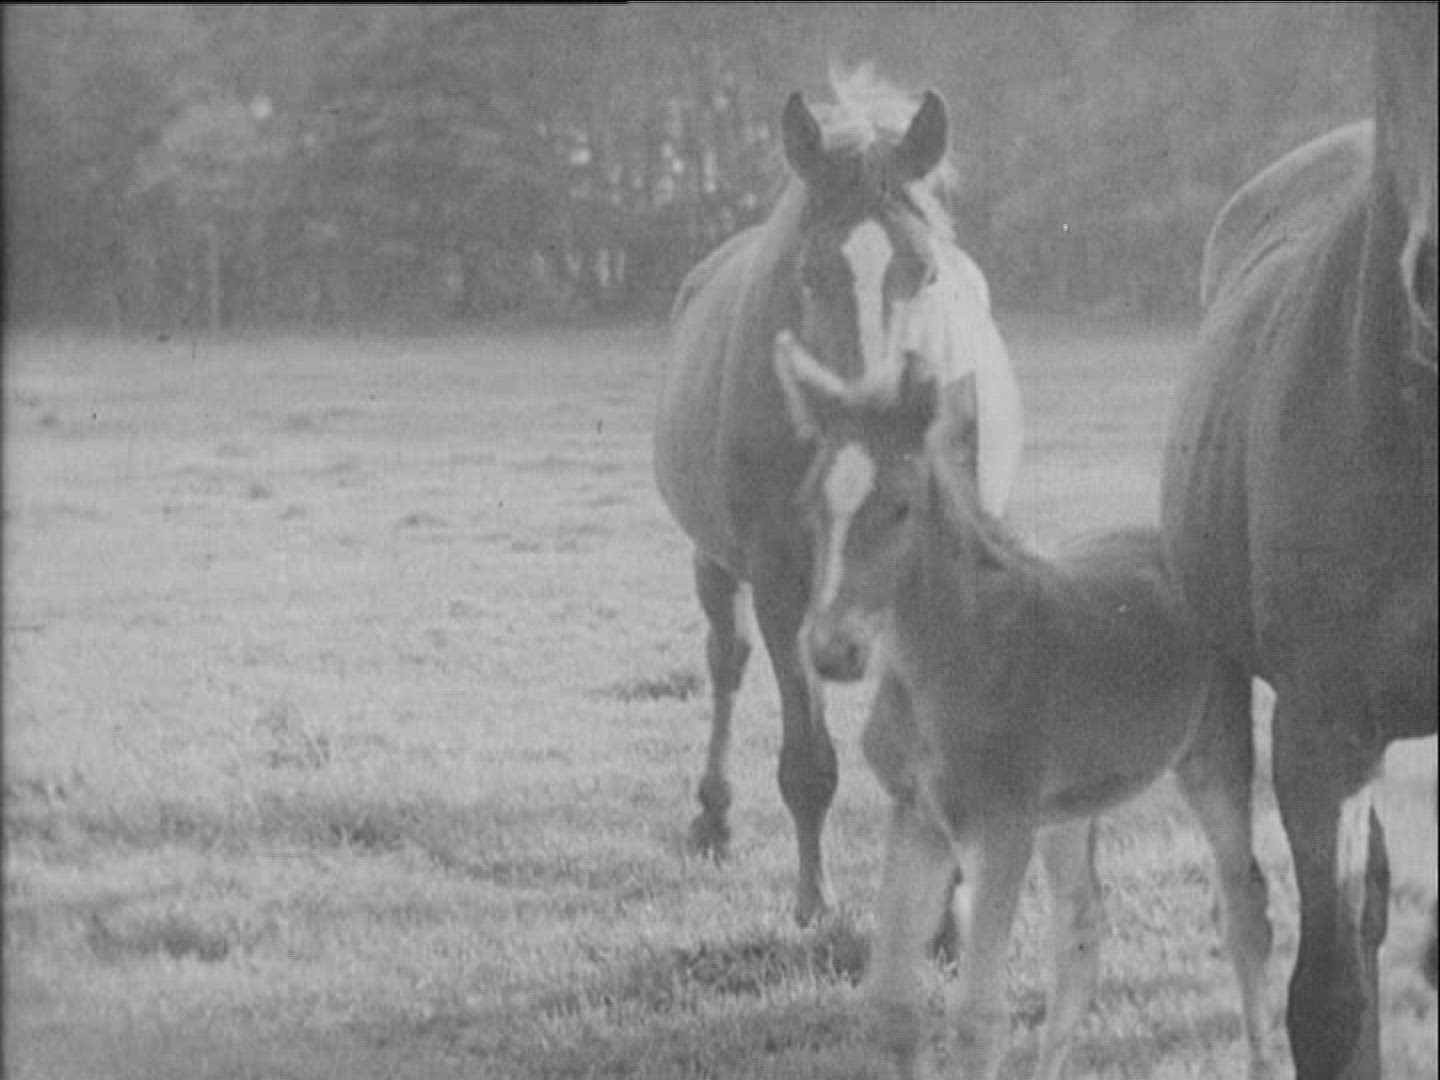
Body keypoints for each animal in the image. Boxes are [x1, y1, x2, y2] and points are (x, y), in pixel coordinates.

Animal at [653, 68, 1023, 926]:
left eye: (925, 273)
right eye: (809, 274)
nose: (876, 423)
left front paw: (951, 915)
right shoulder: (783, 584)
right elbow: (808, 758)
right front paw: (815, 899)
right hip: (715, 564)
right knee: (725, 662)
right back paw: (714, 817)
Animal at [775, 335, 1274, 1080]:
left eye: (901, 507)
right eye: (810, 505)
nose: (833, 651)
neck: (944, 662)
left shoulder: (999, 823)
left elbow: (978, 1017)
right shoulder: (918, 815)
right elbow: (893, 1003)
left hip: (1213, 753)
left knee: (1245, 907)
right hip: (1069, 806)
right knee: (1081, 930)